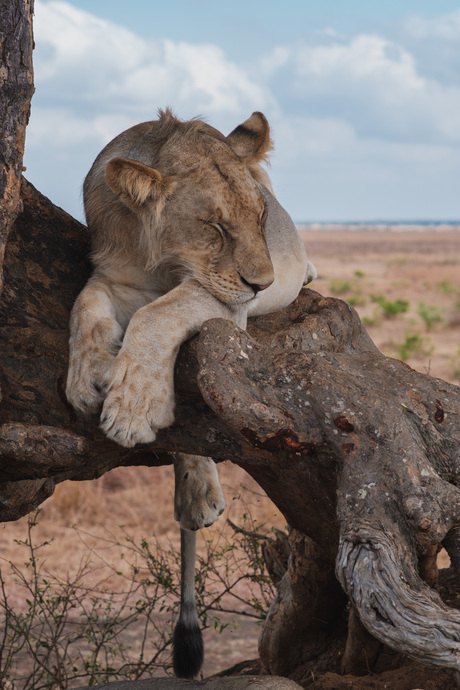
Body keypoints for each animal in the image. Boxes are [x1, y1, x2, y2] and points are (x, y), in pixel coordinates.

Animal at [66, 109, 316, 678]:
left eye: (261, 218)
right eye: (214, 227)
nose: (264, 282)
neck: (160, 258)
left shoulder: (226, 304)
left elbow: (157, 314)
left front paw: (131, 409)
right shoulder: (117, 276)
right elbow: (86, 305)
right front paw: (87, 378)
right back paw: (195, 494)